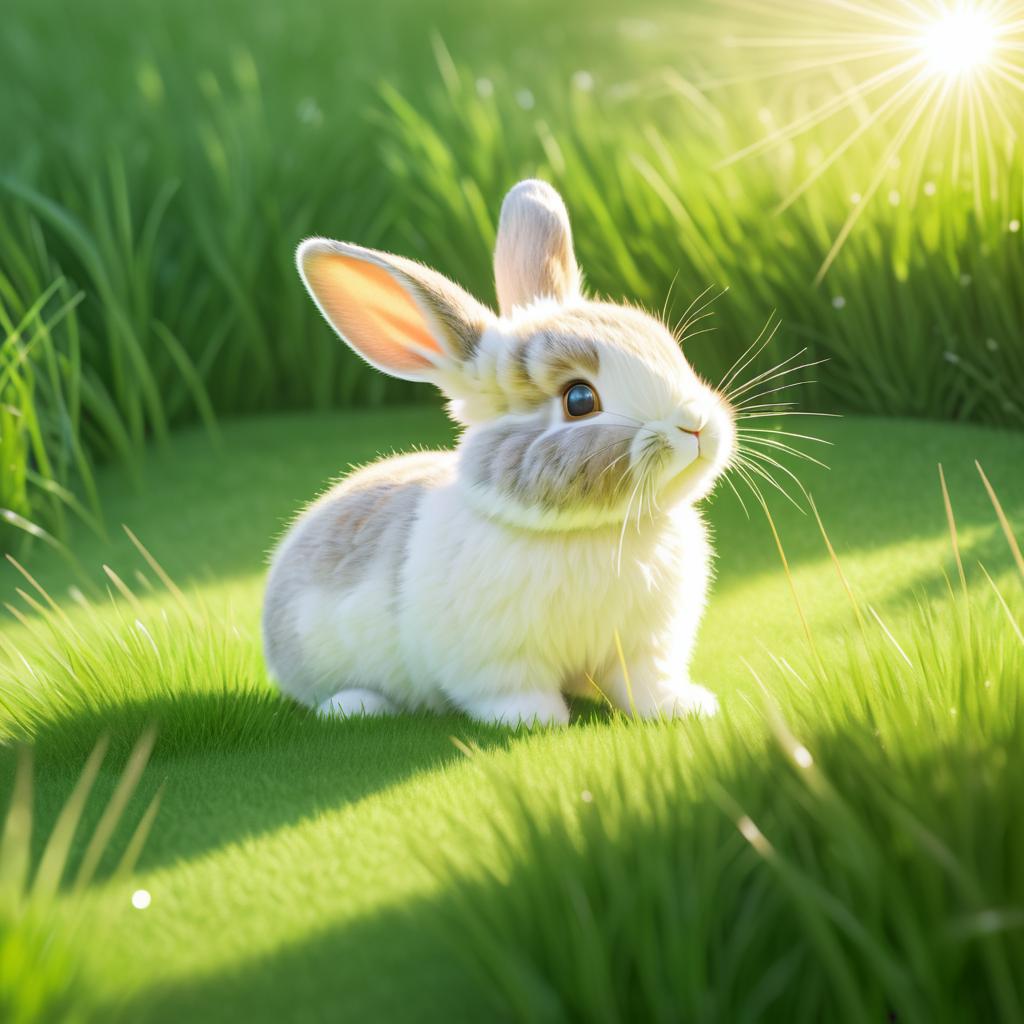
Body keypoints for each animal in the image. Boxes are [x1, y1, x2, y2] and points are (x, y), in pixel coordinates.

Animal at [260, 180, 733, 724]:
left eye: (672, 352)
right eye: (579, 400)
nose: (695, 424)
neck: (597, 529)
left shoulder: (645, 647)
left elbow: (647, 683)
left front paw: (685, 708)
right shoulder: (500, 661)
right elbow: (512, 690)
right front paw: (537, 721)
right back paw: (356, 705)